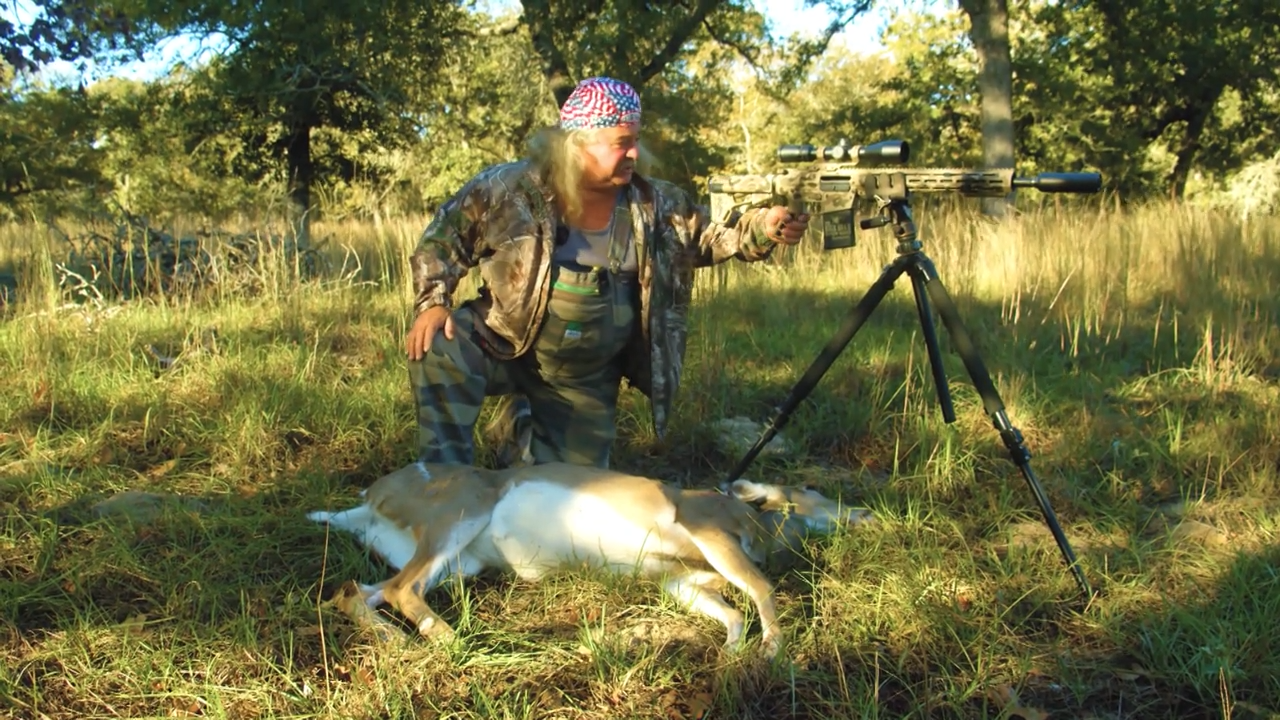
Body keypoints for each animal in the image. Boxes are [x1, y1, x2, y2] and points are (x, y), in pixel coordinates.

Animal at [307, 460, 872, 658]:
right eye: (817, 488)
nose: (867, 510)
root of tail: (369, 497)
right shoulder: (709, 531)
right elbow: (761, 587)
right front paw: (772, 648)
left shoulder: (679, 582)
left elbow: (731, 611)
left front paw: (733, 653)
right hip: (460, 516)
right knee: (399, 589)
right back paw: (452, 640)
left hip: (456, 563)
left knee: (355, 592)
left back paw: (400, 640)